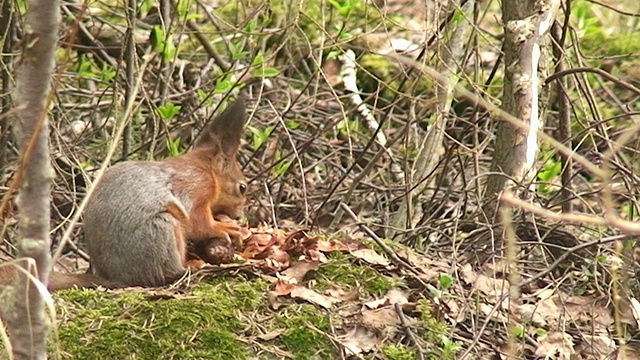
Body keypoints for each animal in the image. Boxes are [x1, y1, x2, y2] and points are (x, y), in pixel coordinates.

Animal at [0, 95, 248, 290]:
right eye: (242, 187)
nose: (239, 215)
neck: (205, 168)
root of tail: (117, 278)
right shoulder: (195, 186)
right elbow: (198, 221)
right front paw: (225, 227)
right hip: (162, 230)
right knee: (166, 272)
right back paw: (190, 265)